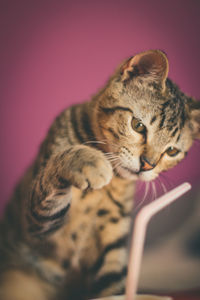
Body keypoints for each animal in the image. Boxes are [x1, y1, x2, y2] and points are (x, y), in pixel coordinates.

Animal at [0, 49, 199, 300]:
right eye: (138, 126)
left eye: (172, 151)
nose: (147, 165)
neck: (111, 183)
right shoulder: (35, 224)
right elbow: (54, 168)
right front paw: (88, 160)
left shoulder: (113, 239)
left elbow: (113, 284)